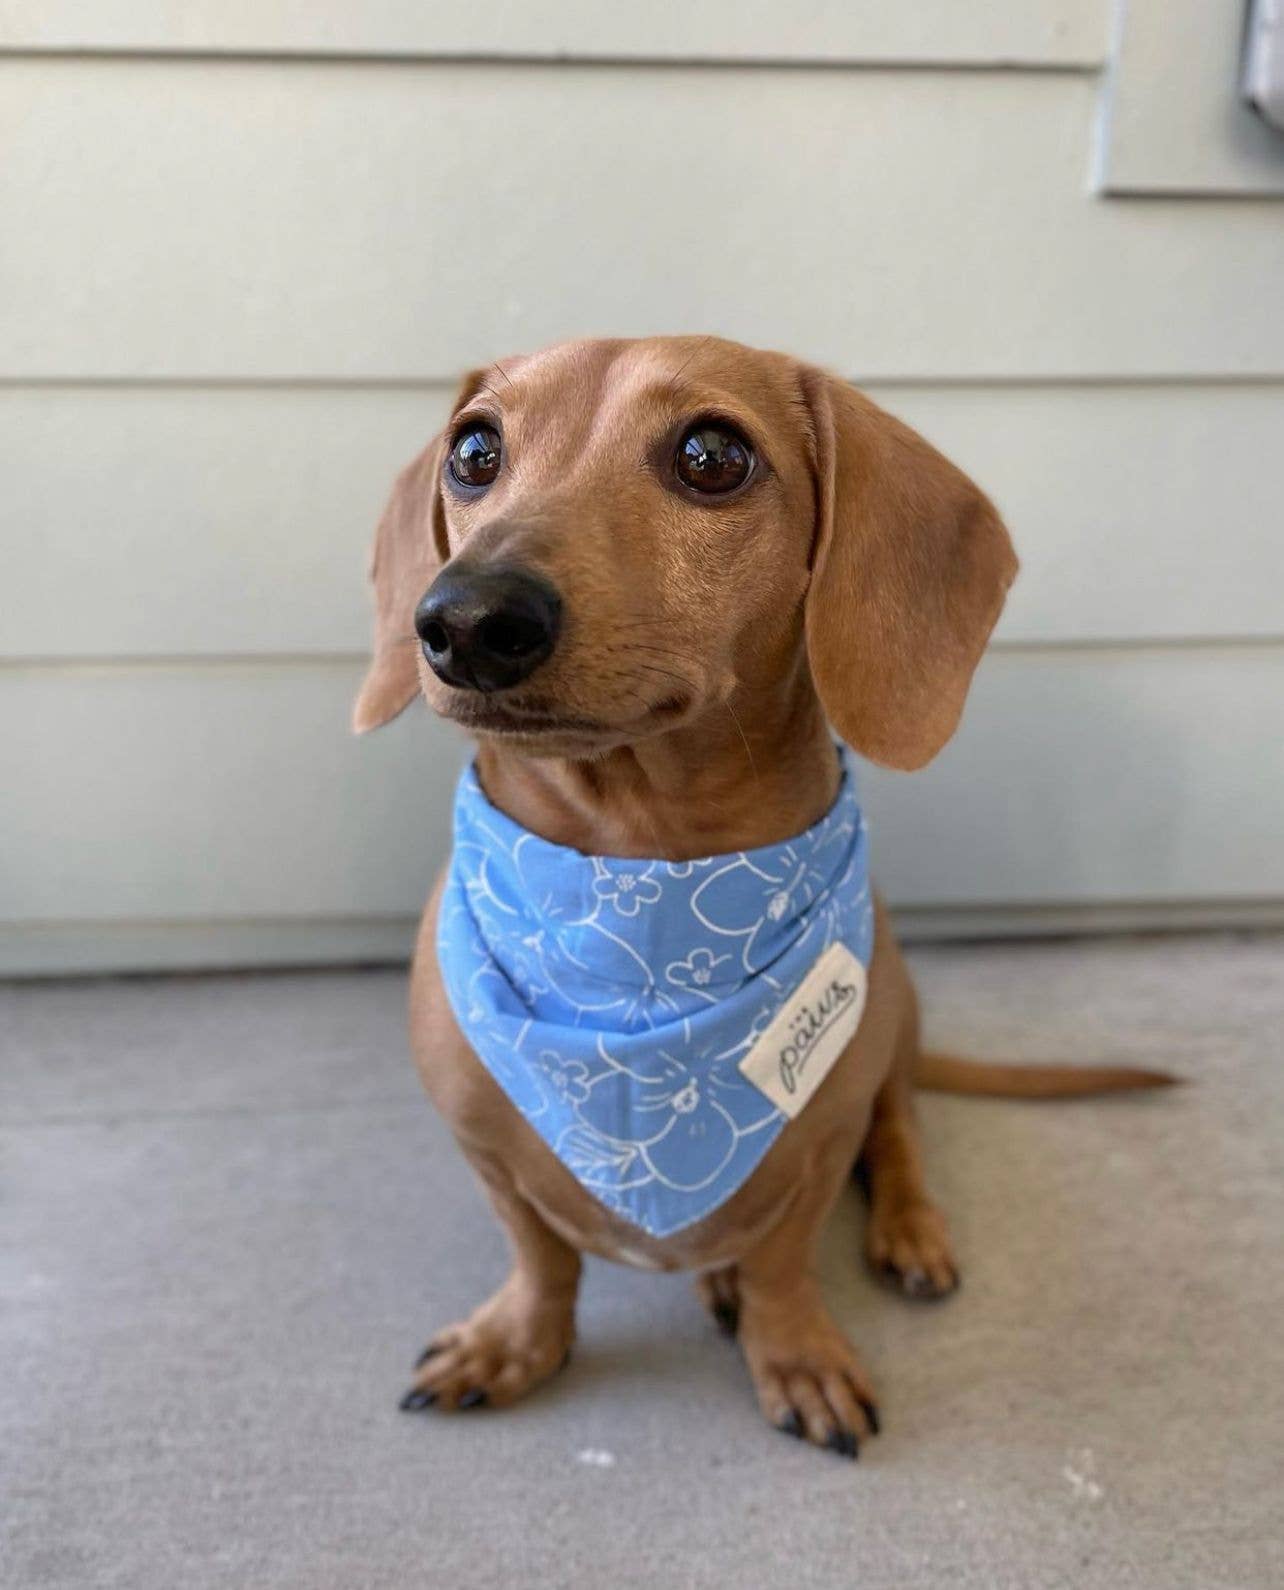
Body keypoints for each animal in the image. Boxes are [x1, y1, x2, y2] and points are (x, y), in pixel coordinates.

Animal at [354, 335, 1175, 1456]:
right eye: (474, 450)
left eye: (713, 455)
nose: (469, 618)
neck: (640, 888)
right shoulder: (485, 1148)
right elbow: (541, 1254)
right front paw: (517, 1339)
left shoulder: (817, 1146)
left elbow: (788, 1259)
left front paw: (794, 1352)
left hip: (895, 1015)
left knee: (900, 1130)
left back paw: (906, 1230)